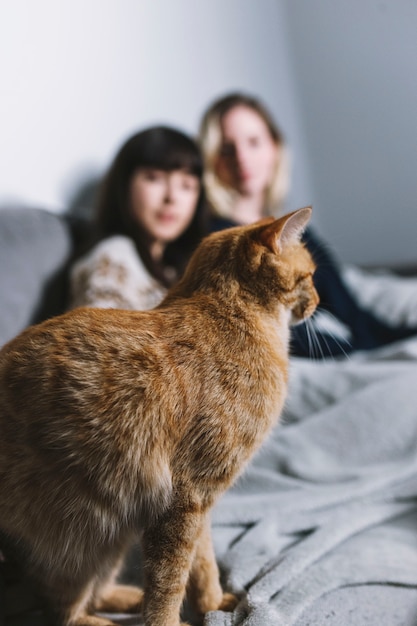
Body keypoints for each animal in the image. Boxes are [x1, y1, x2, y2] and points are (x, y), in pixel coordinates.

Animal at [0, 207, 316, 620]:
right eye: (310, 275)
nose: (318, 301)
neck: (235, 317)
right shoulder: (185, 496)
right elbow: (170, 579)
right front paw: (171, 620)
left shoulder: (201, 501)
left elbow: (203, 561)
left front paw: (212, 603)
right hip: (82, 539)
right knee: (65, 613)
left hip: (113, 538)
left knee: (96, 594)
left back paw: (128, 598)